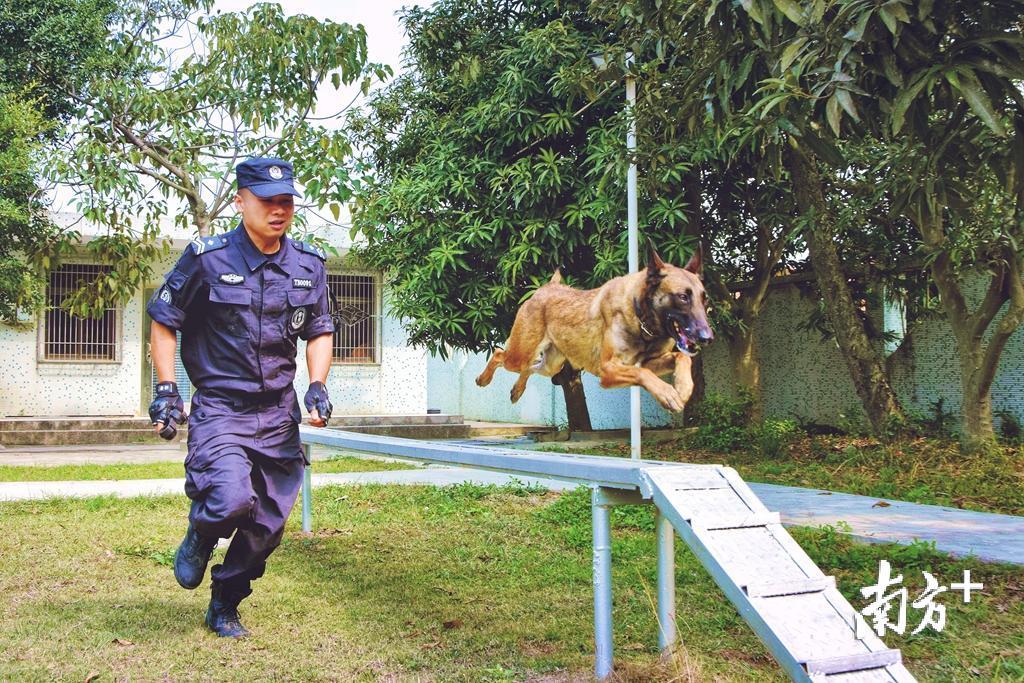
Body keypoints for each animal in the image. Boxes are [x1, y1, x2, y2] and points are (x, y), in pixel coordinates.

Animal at [477, 242, 712, 411]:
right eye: (683, 297)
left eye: (705, 299)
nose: (708, 338)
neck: (641, 319)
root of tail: (547, 288)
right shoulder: (608, 369)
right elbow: (643, 374)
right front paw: (668, 394)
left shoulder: (647, 362)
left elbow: (680, 358)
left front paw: (684, 387)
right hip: (520, 354)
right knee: (499, 354)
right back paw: (483, 378)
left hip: (551, 365)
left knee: (529, 368)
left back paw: (517, 390)